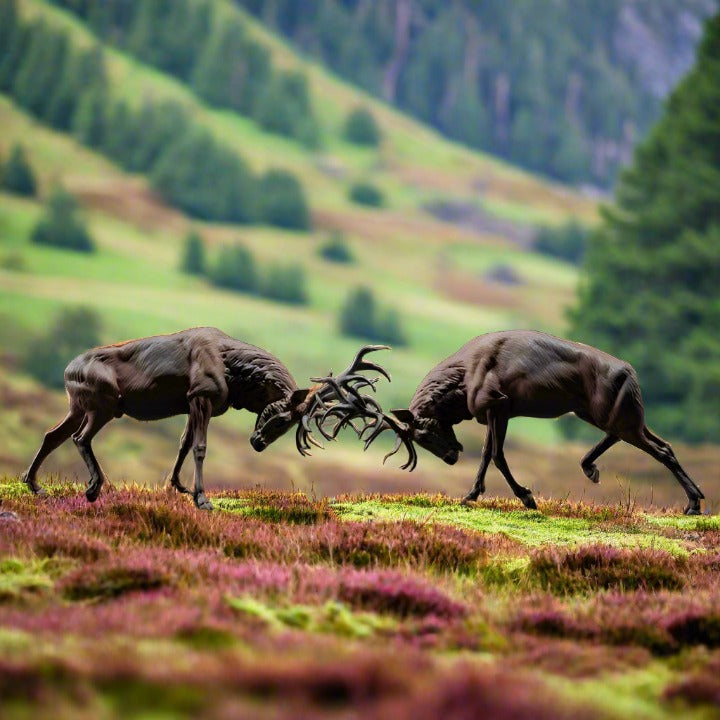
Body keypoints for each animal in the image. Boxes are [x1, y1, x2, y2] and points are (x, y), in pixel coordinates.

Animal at [19, 330, 386, 510]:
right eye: (282, 418)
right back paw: (93, 488)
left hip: (77, 406)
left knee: (52, 435)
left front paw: (178, 485)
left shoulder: (189, 403)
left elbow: (183, 444)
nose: (257, 443)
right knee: (80, 438)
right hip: (103, 404)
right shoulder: (201, 396)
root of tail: (67, 372)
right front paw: (202, 498)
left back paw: (34, 484)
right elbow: (199, 447)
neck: (236, 375)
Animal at [362, 330, 704, 516]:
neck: (461, 382)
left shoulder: (497, 404)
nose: (450, 457)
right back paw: (592, 467)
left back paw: (693, 503)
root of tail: (631, 374)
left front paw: (526, 497)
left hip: (615, 415)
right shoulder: (497, 412)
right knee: (660, 443)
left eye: (428, 430)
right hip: (605, 412)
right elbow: (488, 454)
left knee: (657, 448)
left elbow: (496, 455)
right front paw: (473, 495)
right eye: (421, 438)